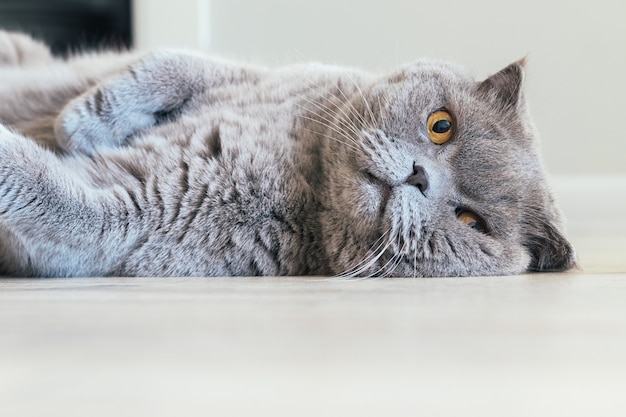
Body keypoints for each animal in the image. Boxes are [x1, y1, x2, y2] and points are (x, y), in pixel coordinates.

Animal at [0, 30, 576, 276]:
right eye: (441, 126)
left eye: (470, 221)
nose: (418, 176)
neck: (307, 168)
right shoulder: (254, 76)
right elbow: (168, 63)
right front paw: (79, 121)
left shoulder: (142, 214)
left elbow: (51, 195)